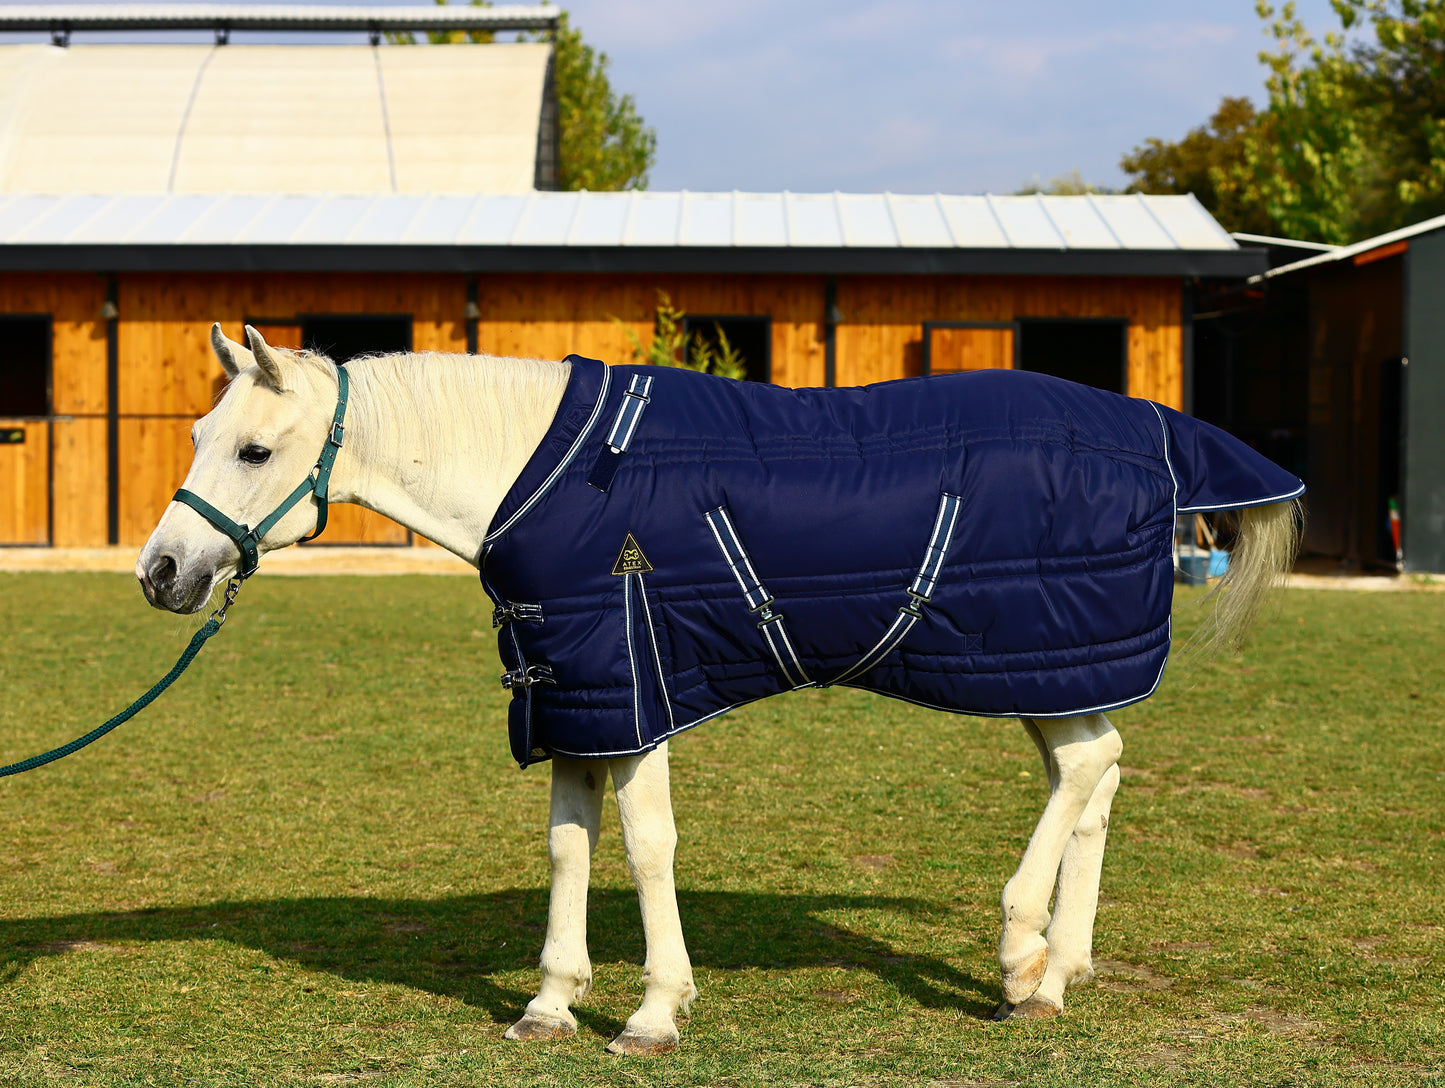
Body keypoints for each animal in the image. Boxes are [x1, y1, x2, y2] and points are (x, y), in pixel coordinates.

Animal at [140, 325, 1306, 1051]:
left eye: (254, 449)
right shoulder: (574, 697)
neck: (548, 476)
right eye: (197, 437)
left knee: (1087, 767)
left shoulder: (635, 688)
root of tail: (1152, 425)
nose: (161, 572)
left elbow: (646, 847)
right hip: (1047, 673)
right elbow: (568, 846)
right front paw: (550, 1003)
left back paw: (1027, 957)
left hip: (1037, 667)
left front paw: (654, 1011)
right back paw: (1060, 967)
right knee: (1096, 777)